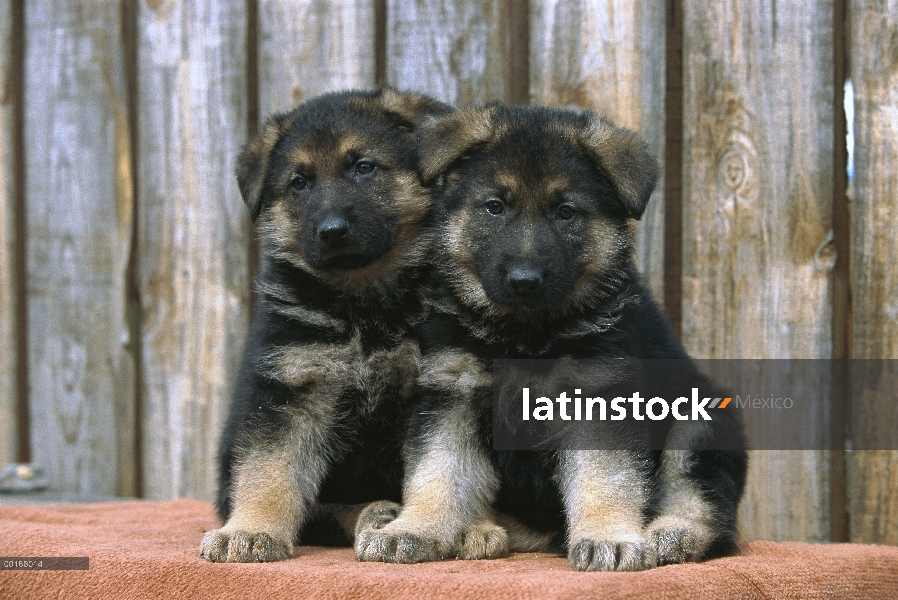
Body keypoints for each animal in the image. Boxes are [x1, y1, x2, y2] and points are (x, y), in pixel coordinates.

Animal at [197, 88, 448, 564]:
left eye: (364, 167)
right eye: (299, 183)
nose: (331, 231)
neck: (362, 304)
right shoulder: (290, 391)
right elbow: (268, 470)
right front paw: (252, 529)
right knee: (327, 510)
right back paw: (373, 511)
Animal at [354, 104, 744, 572]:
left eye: (566, 212)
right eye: (494, 207)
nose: (525, 281)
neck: (526, 335)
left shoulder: (598, 398)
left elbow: (603, 477)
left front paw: (609, 537)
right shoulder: (453, 395)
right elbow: (438, 471)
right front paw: (414, 529)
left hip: (702, 418)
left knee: (703, 506)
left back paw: (670, 534)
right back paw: (471, 527)